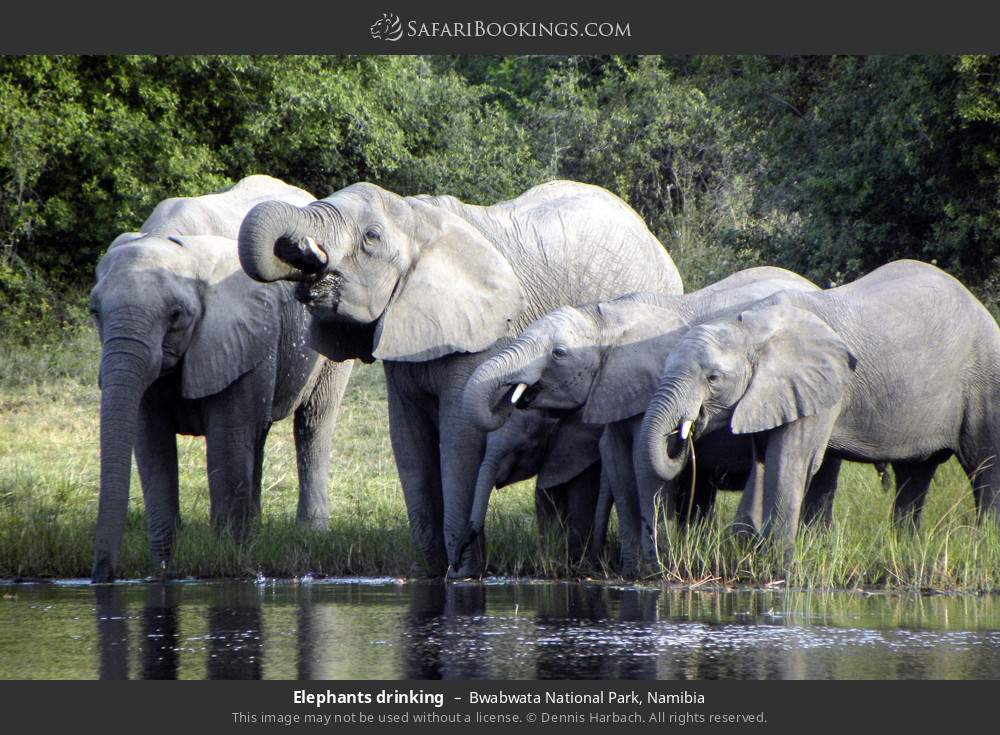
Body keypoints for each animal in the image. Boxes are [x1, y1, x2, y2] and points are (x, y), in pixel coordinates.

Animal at [90, 175, 353, 583]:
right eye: (94, 312)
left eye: (176, 316)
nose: (103, 575)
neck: (176, 243)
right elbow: (151, 444)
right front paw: (165, 567)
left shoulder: (238, 327)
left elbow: (227, 438)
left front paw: (226, 560)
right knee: (258, 436)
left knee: (313, 421)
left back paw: (307, 533)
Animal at [237, 179, 683, 577]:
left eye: (371, 237)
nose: (303, 249)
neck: (418, 217)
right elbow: (408, 440)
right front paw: (431, 573)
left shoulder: (479, 333)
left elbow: (459, 437)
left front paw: (463, 573)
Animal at [464, 266, 830, 575]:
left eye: (559, 354)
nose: (467, 555)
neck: (608, 317)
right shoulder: (616, 391)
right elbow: (617, 461)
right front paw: (631, 570)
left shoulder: (646, 386)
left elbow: (642, 463)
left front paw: (655, 571)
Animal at [638, 259, 1000, 553]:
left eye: (712, 378)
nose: (684, 435)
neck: (750, 326)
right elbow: (763, 458)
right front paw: (745, 544)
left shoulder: (820, 387)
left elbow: (791, 461)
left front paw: (776, 559)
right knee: (914, 474)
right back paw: (904, 546)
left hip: (985, 380)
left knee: (986, 468)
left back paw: (984, 544)